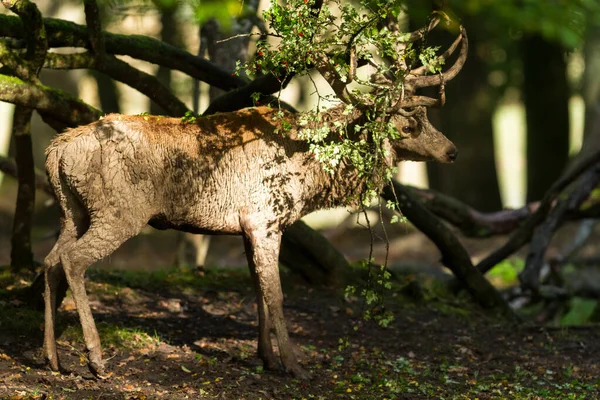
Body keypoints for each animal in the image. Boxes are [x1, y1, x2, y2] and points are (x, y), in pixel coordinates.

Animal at [42, 21, 468, 378]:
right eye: (409, 125)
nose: (452, 151)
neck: (309, 171)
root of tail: (57, 149)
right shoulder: (266, 219)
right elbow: (276, 295)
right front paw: (294, 366)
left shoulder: (248, 226)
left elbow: (258, 290)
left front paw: (265, 358)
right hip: (118, 211)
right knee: (73, 260)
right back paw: (95, 359)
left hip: (72, 210)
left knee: (50, 261)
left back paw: (52, 356)